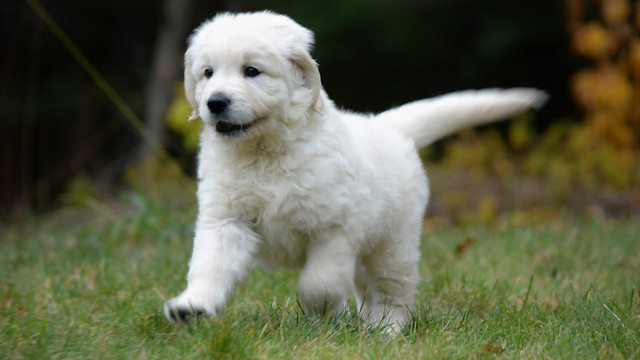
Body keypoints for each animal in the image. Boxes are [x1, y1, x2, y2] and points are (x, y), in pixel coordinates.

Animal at [164, 10, 544, 332]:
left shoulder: (332, 228)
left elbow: (319, 282)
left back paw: (385, 329)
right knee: (367, 287)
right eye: (207, 73)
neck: (265, 153)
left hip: (393, 244)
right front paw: (192, 306)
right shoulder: (227, 219)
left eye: (252, 71)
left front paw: (325, 315)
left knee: (393, 290)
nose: (215, 102)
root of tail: (388, 126)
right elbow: (211, 265)